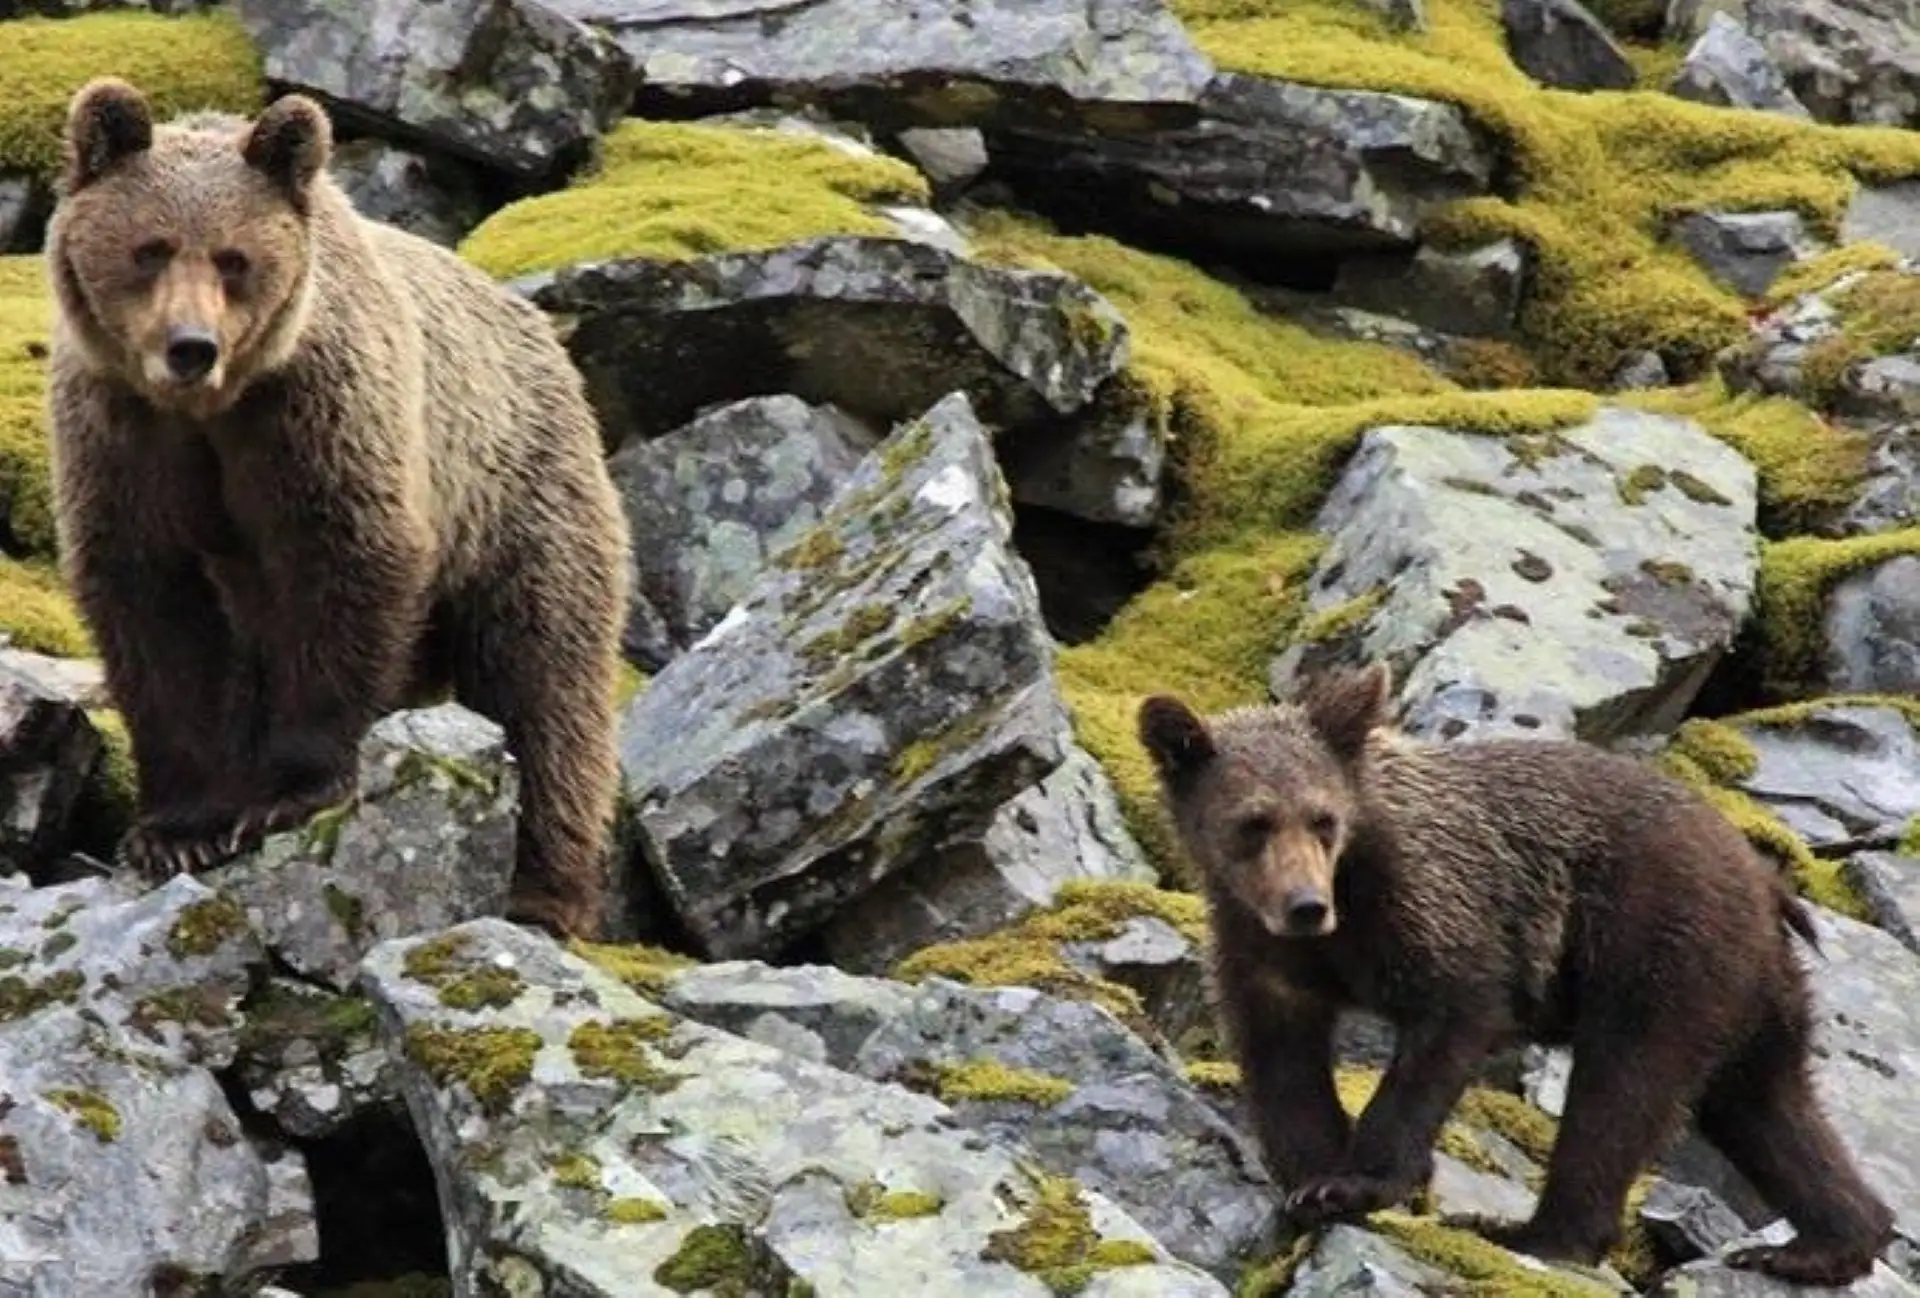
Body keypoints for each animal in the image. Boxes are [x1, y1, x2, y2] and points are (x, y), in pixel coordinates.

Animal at [42, 78, 632, 941]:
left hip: (521, 500)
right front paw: (178, 828)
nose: (191, 346)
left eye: (234, 258)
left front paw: (289, 793)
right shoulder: (123, 440)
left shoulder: (316, 419)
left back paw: (542, 891)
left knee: (543, 684)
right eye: (150, 248)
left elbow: (345, 570)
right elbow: (154, 613)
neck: (209, 412)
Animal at [1137, 661, 1895, 1287]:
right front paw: (1311, 1180)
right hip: (1747, 986)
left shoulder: (1435, 907)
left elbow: (1452, 1019)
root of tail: (1764, 877)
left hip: (1658, 945)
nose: (1305, 905)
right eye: (1253, 823)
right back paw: (1820, 1244)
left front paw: (1358, 1182)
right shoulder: (1261, 956)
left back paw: (1542, 1234)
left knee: (1621, 1091)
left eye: (1322, 819)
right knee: (1765, 1103)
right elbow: (1282, 1063)